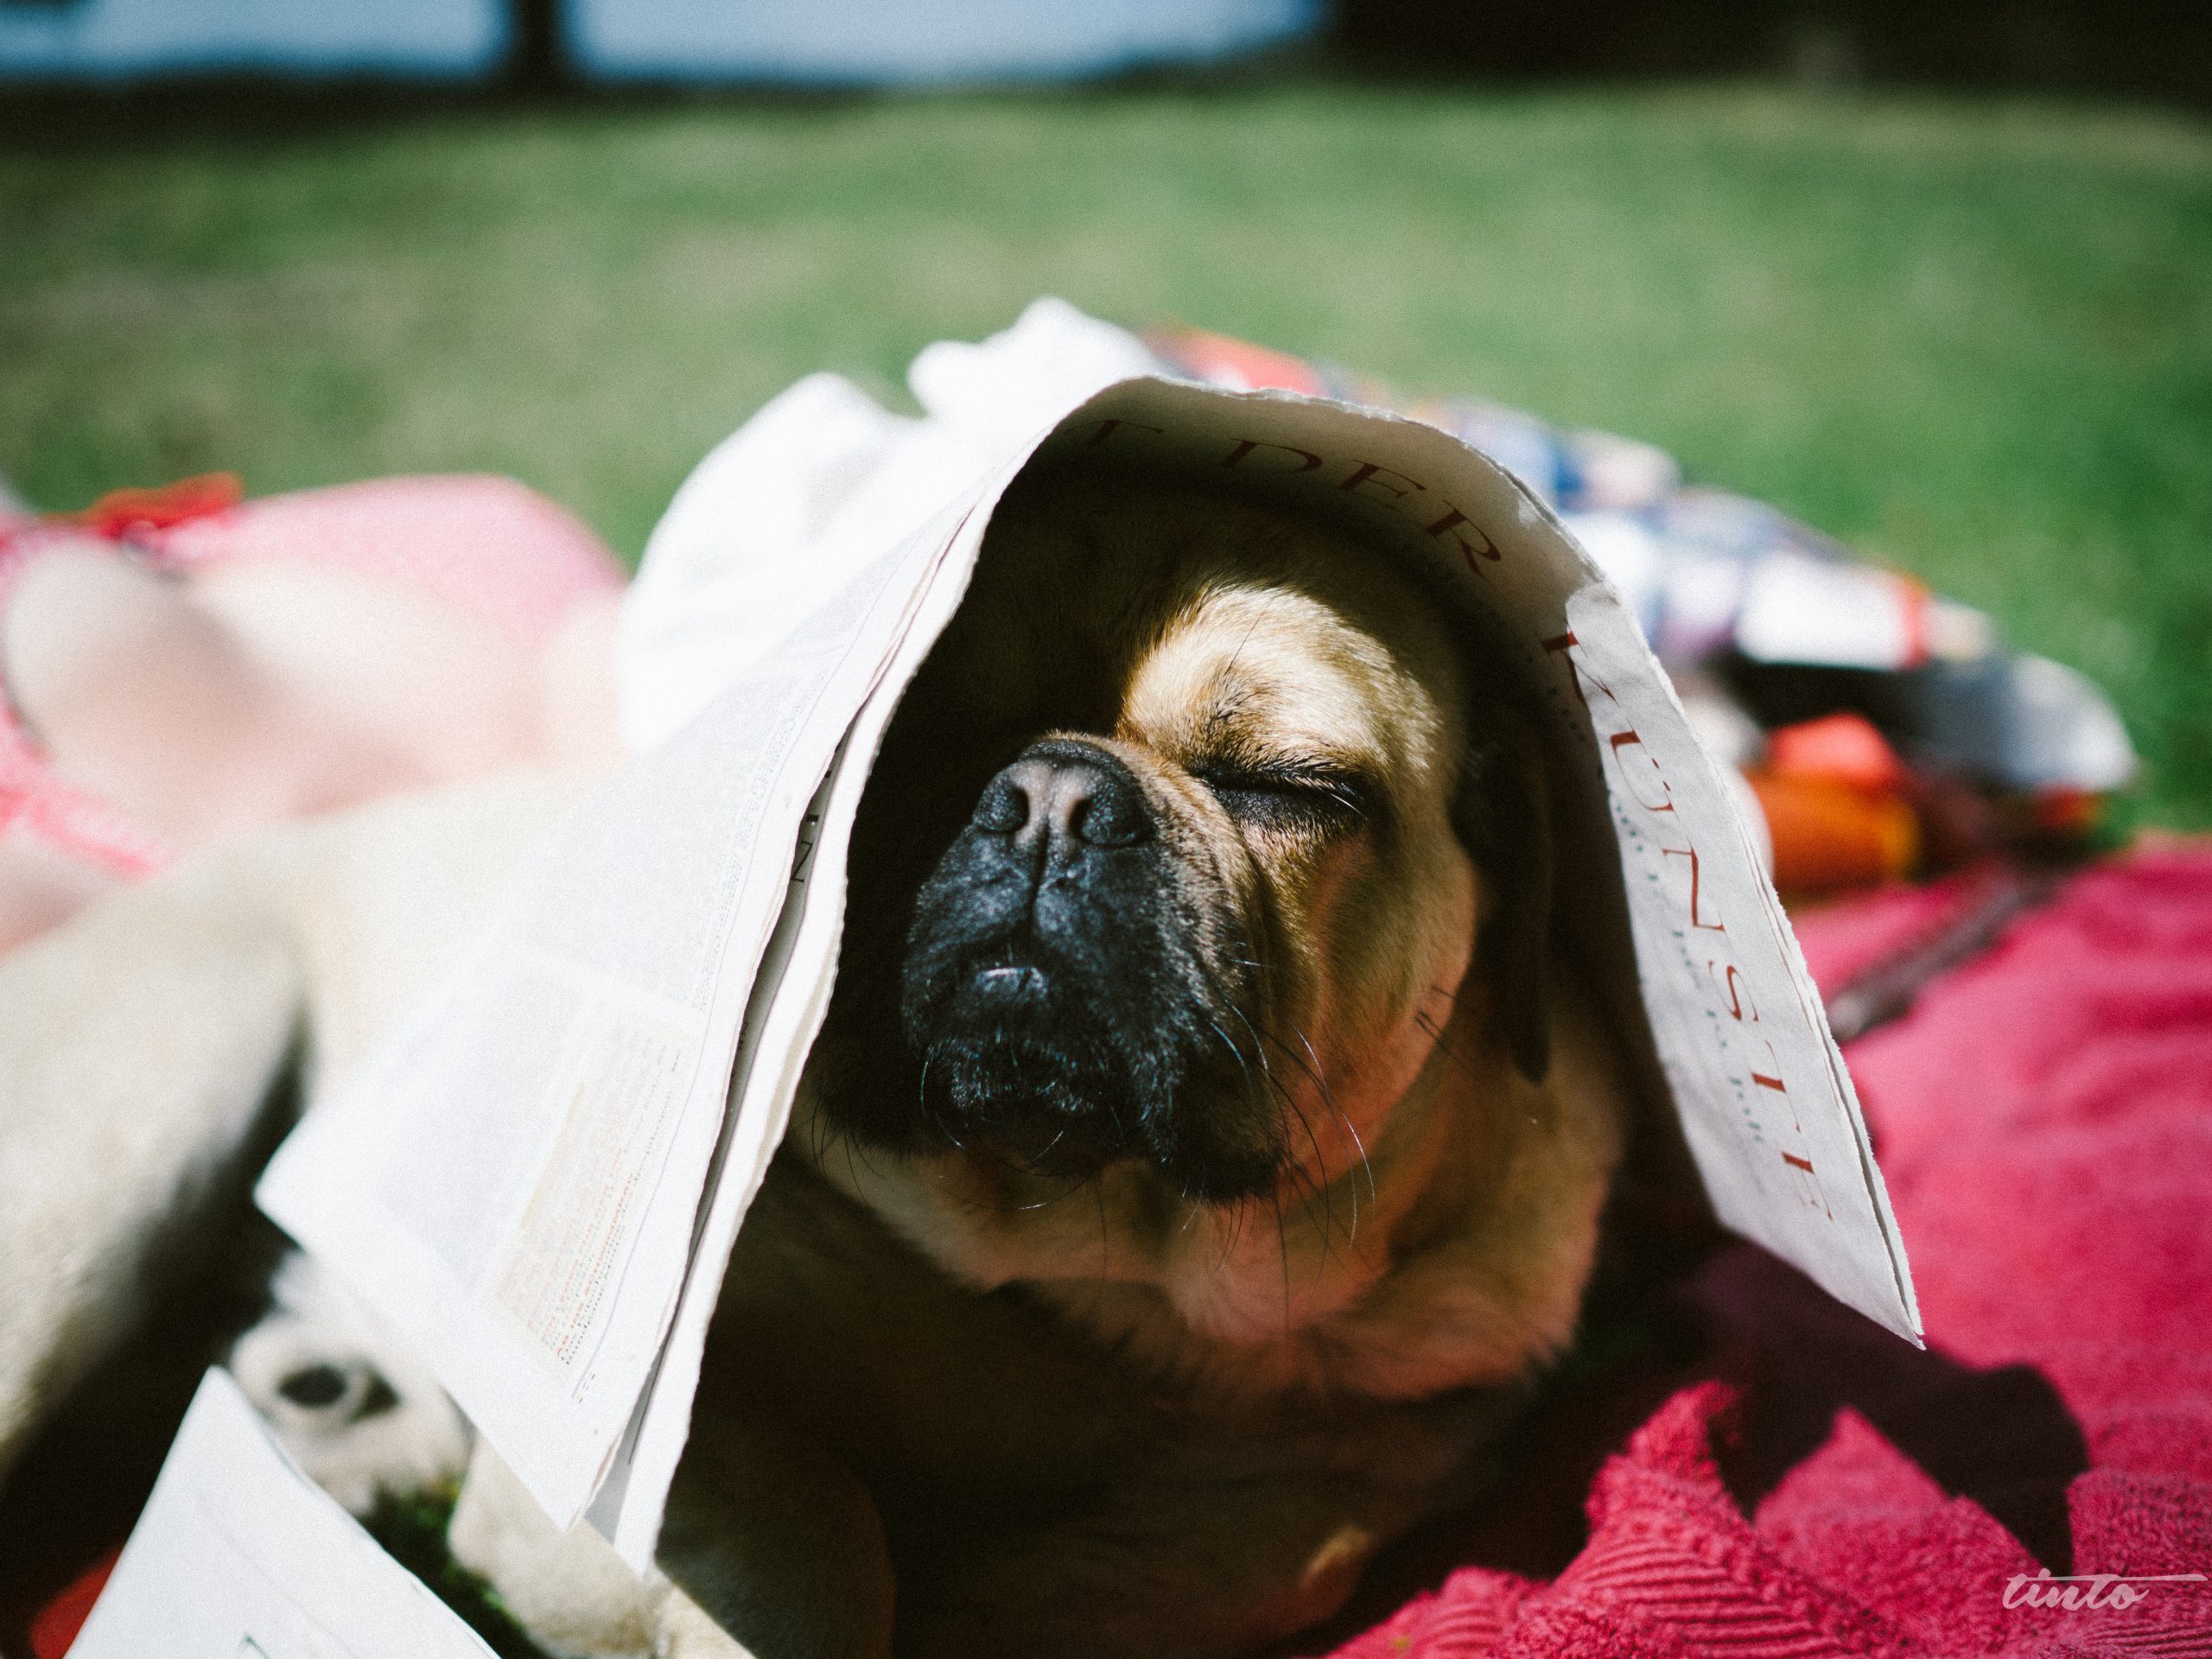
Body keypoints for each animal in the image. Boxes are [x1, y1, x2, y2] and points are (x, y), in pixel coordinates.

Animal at [447, 456, 1632, 1659]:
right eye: (905, 732)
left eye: (1288, 788)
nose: (1053, 799)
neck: (1100, 1266)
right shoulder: (589, 1460)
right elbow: (803, 1518)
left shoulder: (1416, 1430)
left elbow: (1274, 1547)